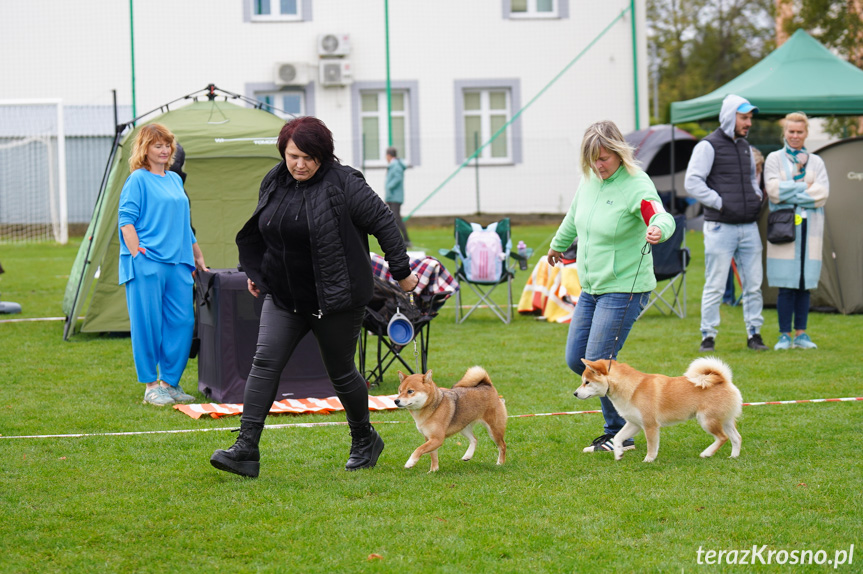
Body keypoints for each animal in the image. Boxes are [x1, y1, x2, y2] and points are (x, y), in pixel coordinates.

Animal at [572, 358, 744, 466]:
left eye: (587, 382)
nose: (575, 393)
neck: (633, 388)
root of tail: (723, 380)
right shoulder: (634, 423)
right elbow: (619, 437)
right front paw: (618, 453)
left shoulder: (650, 425)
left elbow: (651, 445)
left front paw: (648, 460)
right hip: (724, 420)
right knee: (736, 438)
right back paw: (734, 456)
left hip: (707, 420)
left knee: (723, 438)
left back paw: (707, 453)